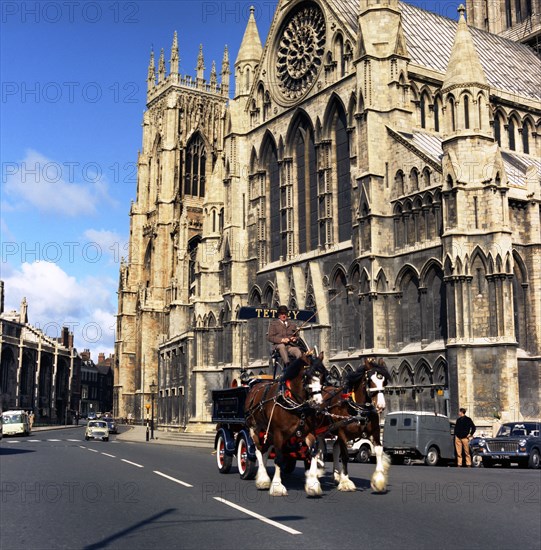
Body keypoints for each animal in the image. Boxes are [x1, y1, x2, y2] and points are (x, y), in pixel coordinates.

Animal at [244, 354, 324, 500]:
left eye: (323, 375)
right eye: (307, 375)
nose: (318, 402)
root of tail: (255, 386)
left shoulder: (309, 432)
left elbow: (314, 453)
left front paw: (313, 485)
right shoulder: (278, 433)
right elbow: (279, 458)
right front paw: (277, 486)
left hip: (268, 431)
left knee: (265, 450)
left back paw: (263, 475)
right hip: (254, 428)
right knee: (258, 450)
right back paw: (263, 478)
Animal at [318, 358, 390, 496]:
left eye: (384, 381)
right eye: (370, 380)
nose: (381, 405)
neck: (358, 408)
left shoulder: (375, 431)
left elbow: (379, 450)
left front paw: (379, 480)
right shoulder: (342, 432)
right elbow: (345, 455)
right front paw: (346, 482)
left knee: (334, 448)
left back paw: (336, 475)